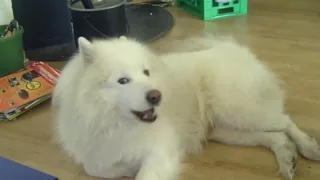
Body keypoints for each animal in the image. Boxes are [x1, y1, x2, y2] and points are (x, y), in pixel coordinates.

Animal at [52, 35, 320, 180]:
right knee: (275, 136)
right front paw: (127, 167)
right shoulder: (98, 154)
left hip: (240, 111)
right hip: (227, 130)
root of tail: (233, 48)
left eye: (146, 72)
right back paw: (287, 159)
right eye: (123, 81)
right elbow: (96, 168)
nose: (156, 96)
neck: (113, 122)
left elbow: (145, 173)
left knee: (286, 121)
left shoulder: (160, 150)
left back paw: (308, 148)